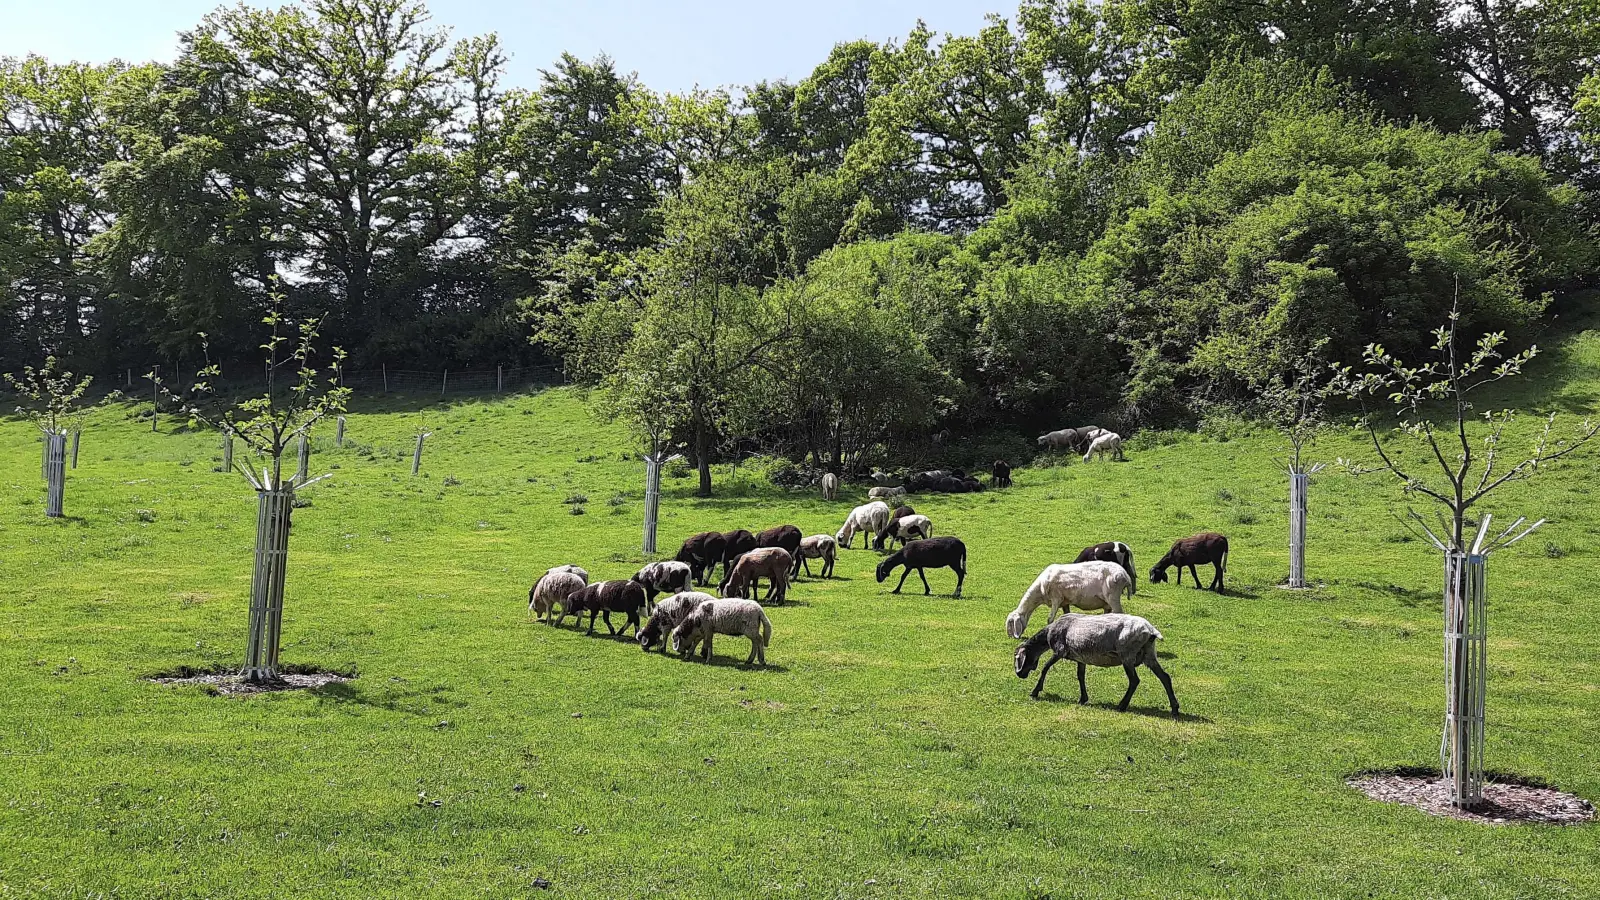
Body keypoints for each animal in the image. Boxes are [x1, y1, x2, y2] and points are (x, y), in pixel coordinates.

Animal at [1004, 560, 1132, 637]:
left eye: (1010, 623)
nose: (1010, 636)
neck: (1039, 591)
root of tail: (1126, 576)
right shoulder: (1065, 602)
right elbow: (1066, 615)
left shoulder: (1056, 598)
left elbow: (1050, 619)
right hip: (1108, 601)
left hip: (1113, 596)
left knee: (1120, 614)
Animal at [1017, 608, 1184, 714]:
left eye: (1017, 658)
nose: (1020, 675)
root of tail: (1150, 630)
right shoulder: (1081, 657)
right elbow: (1080, 676)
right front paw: (1083, 698)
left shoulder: (1060, 650)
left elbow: (1045, 667)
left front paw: (1035, 691)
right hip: (1149, 655)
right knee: (1165, 677)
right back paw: (1175, 708)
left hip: (1127, 655)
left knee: (1134, 680)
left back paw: (1122, 706)